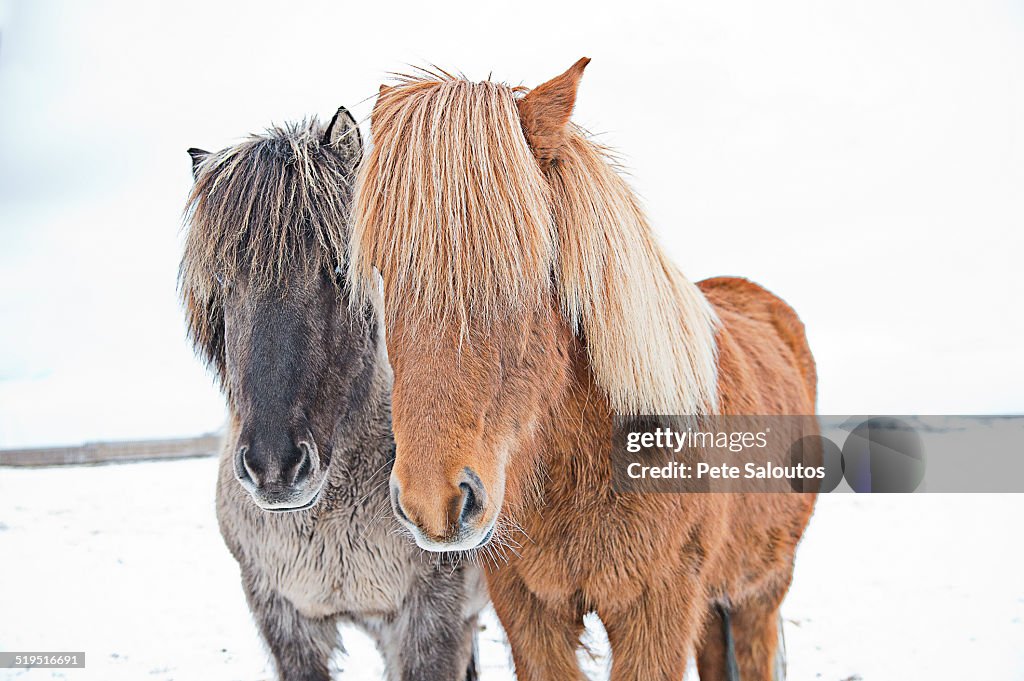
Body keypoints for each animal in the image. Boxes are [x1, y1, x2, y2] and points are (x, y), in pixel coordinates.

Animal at [348, 59, 819, 679]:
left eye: (526, 265)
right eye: (385, 272)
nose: (435, 502)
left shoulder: (658, 615)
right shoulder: (528, 611)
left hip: (759, 595)